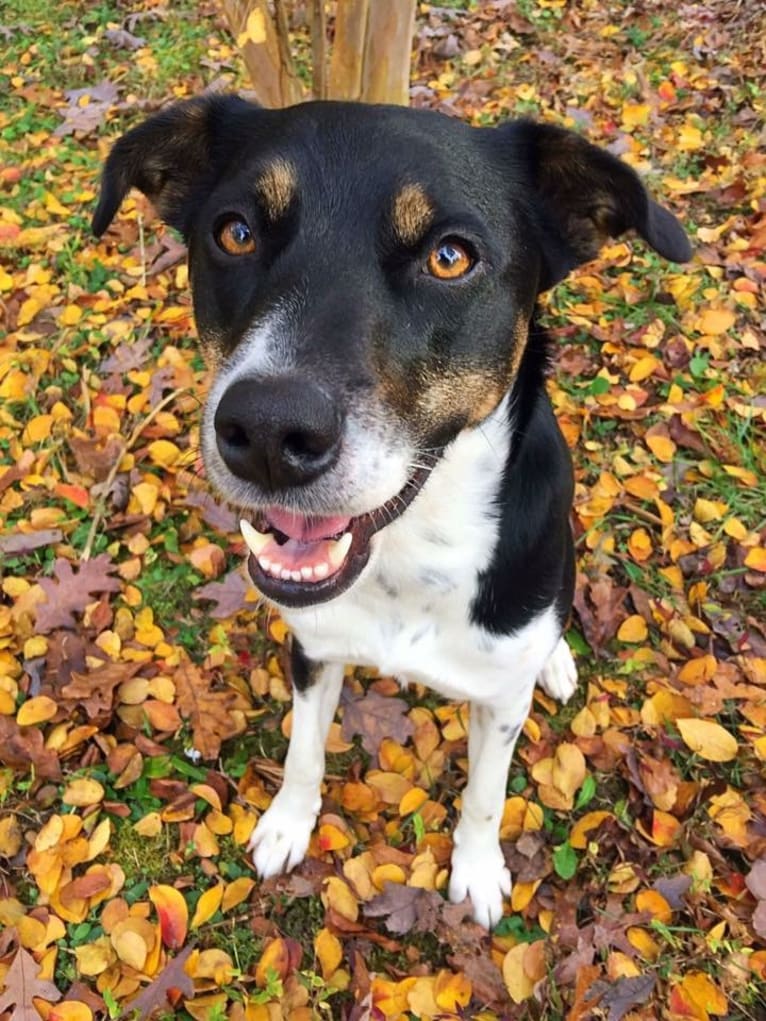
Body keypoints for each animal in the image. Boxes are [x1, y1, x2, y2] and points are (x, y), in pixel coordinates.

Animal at [92, 93, 694, 927]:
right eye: (235, 232)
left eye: (451, 256)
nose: (270, 433)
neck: (409, 558)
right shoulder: (312, 649)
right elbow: (303, 750)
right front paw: (288, 823)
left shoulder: (498, 702)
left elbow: (485, 794)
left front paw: (477, 869)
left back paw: (556, 660)